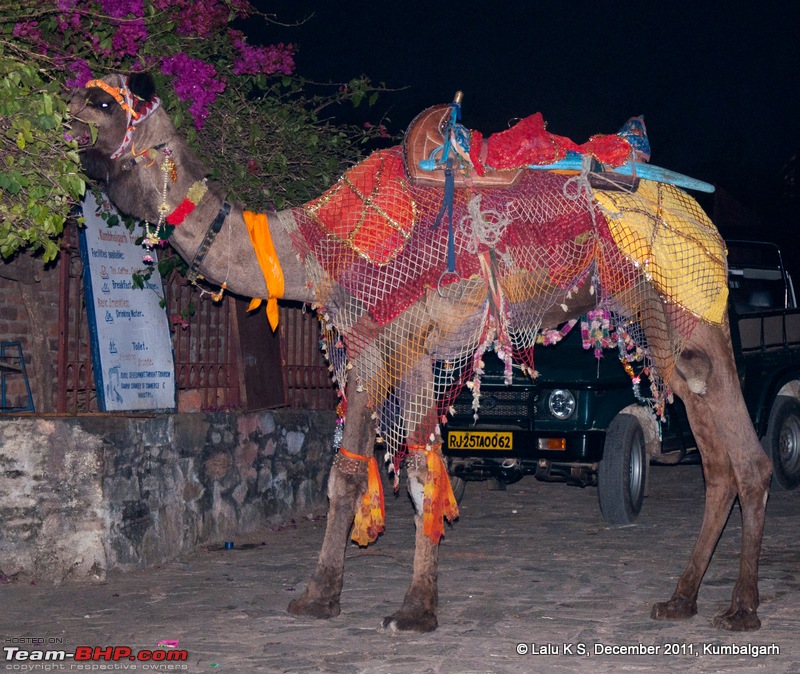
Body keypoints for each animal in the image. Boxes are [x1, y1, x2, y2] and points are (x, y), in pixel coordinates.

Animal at [70, 72, 776, 632]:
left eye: (104, 100)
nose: (68, 115)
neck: (307, 253)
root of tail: (709, 227)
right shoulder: (388, 350)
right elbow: (383, 472)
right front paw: (368, 601)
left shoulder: (390, 342)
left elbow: (381, 472)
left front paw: (369, 603)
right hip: (663, 328)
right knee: (714, 455)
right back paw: (680, 601)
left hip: (694, 309)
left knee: (750, 455)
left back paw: (740, 608)